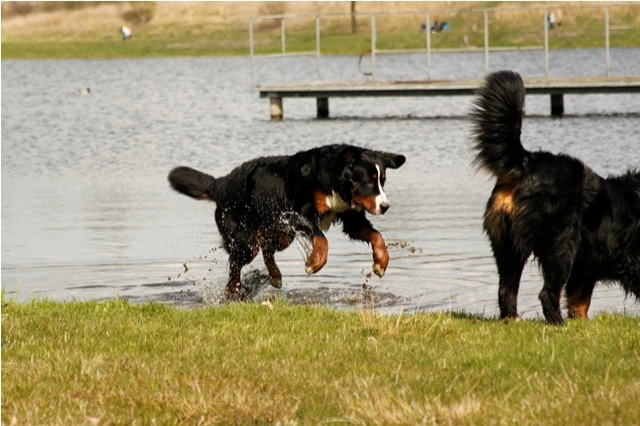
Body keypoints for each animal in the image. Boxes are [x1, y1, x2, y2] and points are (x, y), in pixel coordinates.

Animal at [168, 144, 406, 299]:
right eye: (369, 182)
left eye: (382, 181)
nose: (385, 206)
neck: (331, 179)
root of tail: (221, 184)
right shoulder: (298, 214)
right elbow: (322, 240)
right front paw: (314, 262)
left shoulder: (350, 218)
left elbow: (377, 236)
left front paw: (381, 262)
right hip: (246, 240)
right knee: (236, 263)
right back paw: (232, 290)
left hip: (282, 234)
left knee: (266, 248)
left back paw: (275, 276)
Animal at [471, 70, 640, 325]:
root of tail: (528, 163)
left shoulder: (585, 270)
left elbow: (579, 301)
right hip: (561, 245)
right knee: (547, 293)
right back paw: (558, 324)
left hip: (508, 246)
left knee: (506, 290)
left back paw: (513, 320)